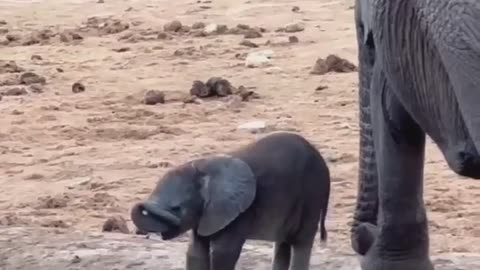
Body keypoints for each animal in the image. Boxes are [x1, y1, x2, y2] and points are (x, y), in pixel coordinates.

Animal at [130, 132, 330, 268]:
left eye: (177, 208)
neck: (203, 167)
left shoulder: (240, 211)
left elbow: (223, 252)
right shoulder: (207, 213)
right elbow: (195, 252)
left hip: (312, 194)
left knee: (300, 242)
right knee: (282, 244)